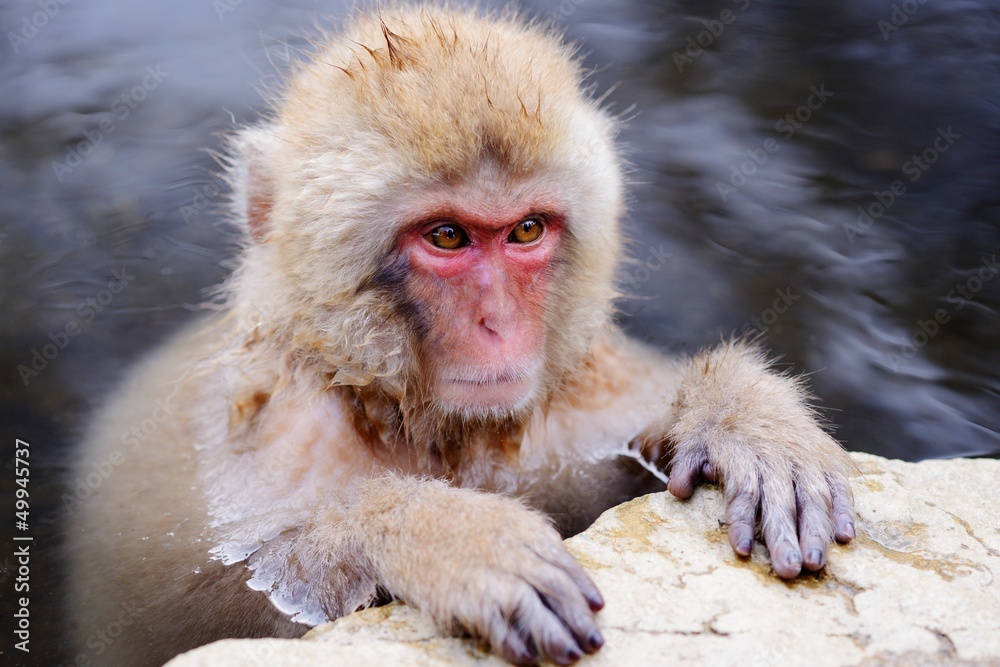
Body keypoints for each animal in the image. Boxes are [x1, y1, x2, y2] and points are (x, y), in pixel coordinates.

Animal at [65, 5, 856, 667]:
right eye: (447, 236)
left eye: (526, 230)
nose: (498, 324)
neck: (422, 419)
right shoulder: (268, 441)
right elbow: (210, 608)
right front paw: (436, 533)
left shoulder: (586, 405)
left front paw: (743, 420)